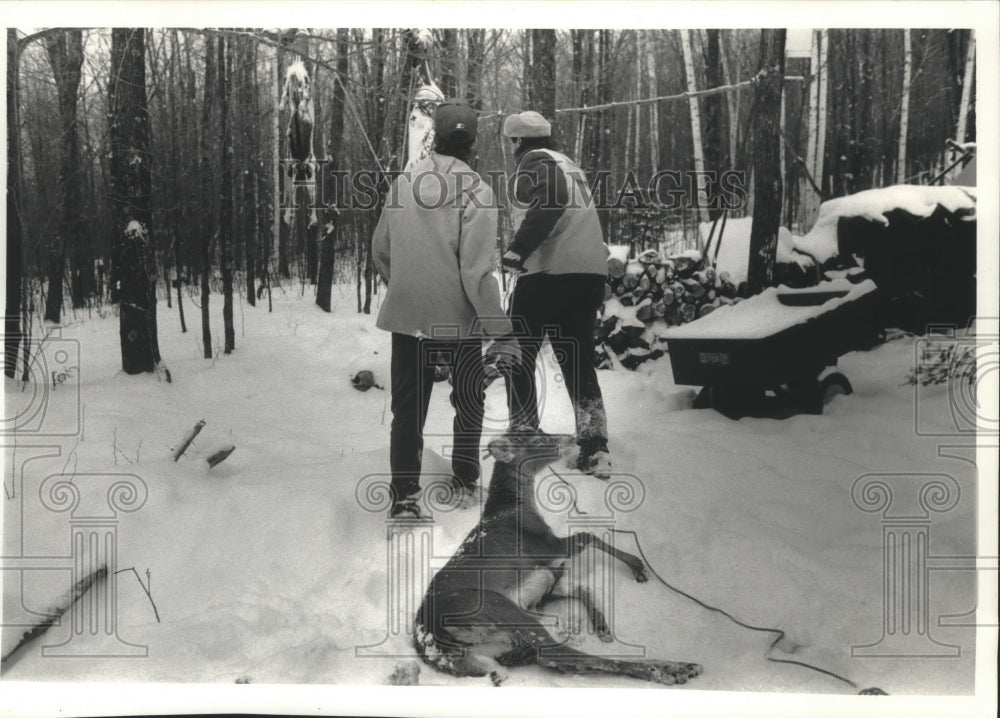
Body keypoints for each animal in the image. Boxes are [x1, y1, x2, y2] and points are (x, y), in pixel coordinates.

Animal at [414, 430, 704, 688]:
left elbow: (579, 586)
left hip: (500, 646)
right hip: (497, 608)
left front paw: (601, 623)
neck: (513, 508)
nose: (571, 437)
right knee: (565, 656)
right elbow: (589, 535)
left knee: (553, 659)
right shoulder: (544, 547)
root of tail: (430, 641)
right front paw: (636, 563)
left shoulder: (545, 581)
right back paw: (676, 669)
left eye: (538, 427)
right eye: (535, 438)